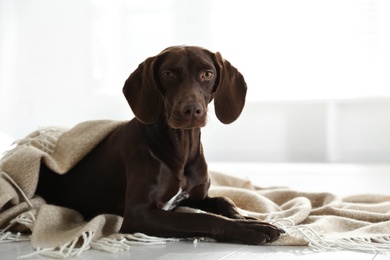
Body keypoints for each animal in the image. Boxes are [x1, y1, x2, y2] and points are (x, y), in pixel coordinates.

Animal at [36, 46, 284, 244]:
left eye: (207, 74)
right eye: (168, 74)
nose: (191, 110)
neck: (181, 147)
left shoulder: (198, 198)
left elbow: (225, 201)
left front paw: (247, 218)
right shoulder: (139, 213)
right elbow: (201, 218)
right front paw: (249, 228)